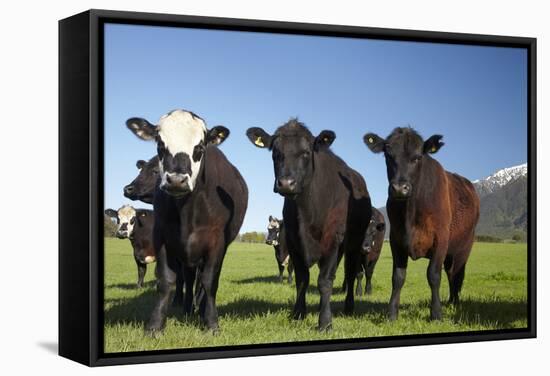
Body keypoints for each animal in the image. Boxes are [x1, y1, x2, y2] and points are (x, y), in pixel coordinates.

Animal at [126, 108, 249, 332]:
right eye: (160, 144)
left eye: (199, 147)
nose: (176, 180)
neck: (187, 212)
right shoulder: (163, 237)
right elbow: (167, 280)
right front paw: (155, 325)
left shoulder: (216, 241)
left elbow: (209, 281)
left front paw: (211, 322)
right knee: (190, 278)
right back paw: (187, 308)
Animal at [248, 119, 374, 330]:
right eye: (275, 152)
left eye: (306, 152)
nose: (286, 183)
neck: (307, 213)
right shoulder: (294, 242)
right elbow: (302, 280)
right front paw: (298, 314)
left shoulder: (333, 240)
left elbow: (324, 281)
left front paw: (325, 322)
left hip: (354, 244)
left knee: (350, 273)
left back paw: (349, 306)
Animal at [368, 127, 480, 320]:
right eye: (388, 155)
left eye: (418, 157)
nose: (399, 188)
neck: (411, 211)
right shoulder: (396, 240)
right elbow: (398, 277)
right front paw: (392, 313)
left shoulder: (441, 240)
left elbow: (433, 275)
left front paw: (436, 314)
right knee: (451, 272)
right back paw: (450, 301)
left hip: (464, 247)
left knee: (456, 274)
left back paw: (455, 303)